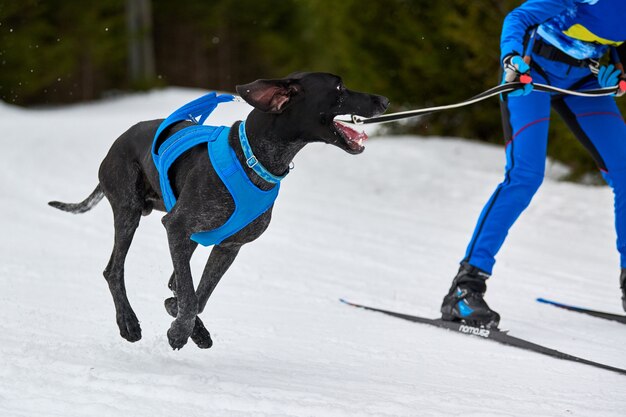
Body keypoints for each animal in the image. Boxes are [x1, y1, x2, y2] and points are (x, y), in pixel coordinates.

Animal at [50, 71, 386, 348]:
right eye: (339, 88)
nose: (384, 100)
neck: (254, 158)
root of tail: (115, 145)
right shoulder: (177, 226)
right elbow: (188, 294)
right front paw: (179, 331)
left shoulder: (228, 246)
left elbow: (195, 296)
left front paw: (185, 322)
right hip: (128, 212)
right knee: (114, 270)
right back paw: (129, 323)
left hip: (185, 236)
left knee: (174, 281)